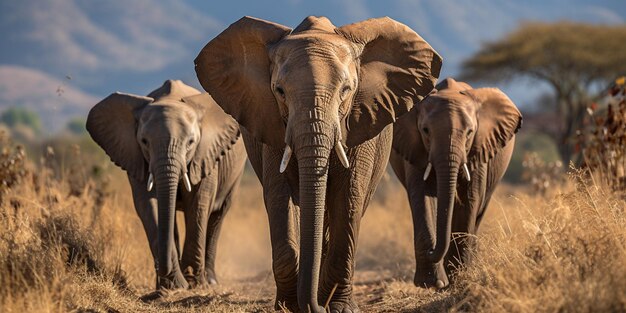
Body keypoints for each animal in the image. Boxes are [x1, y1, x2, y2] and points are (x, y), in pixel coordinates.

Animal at [86, 80, 246, 290]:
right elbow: (148, 205)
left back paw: (210, 281)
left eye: (191, 142)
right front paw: (174, 286)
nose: (164, 270)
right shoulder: (136, 157)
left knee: (218, 215)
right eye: (144, 141)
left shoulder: (205, 155)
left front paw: (194, 284)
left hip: (235, 172)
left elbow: (198, 204)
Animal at [195, 16, 438, 312]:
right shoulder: (271, 123)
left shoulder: (360, 121)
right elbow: (279, 197)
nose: (314, 307)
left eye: (346, 90)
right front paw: (288, 307)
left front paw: (339, 307)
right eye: (279, 91)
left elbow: (349, 196)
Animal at [392, 77, 520, 288]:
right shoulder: (415, 149)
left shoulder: (479, 149)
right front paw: (432, 283)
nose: (431, 250)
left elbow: (469, 199)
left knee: (479, 211)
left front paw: (458, 278)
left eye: (469, 132)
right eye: (425, 130)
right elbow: (421, 197)